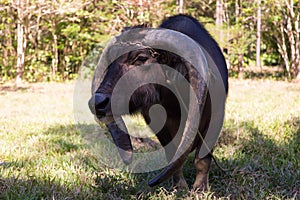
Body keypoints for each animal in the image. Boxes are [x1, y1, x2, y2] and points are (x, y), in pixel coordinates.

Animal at [88, 14, 229, 191]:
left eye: (141, 58)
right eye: (111, 61)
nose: (98, 102)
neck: (176, 105)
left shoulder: (215, 120)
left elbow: (202, 159)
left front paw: (200, 188)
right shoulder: (158, 126)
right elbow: (172, 156)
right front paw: (179, 185)